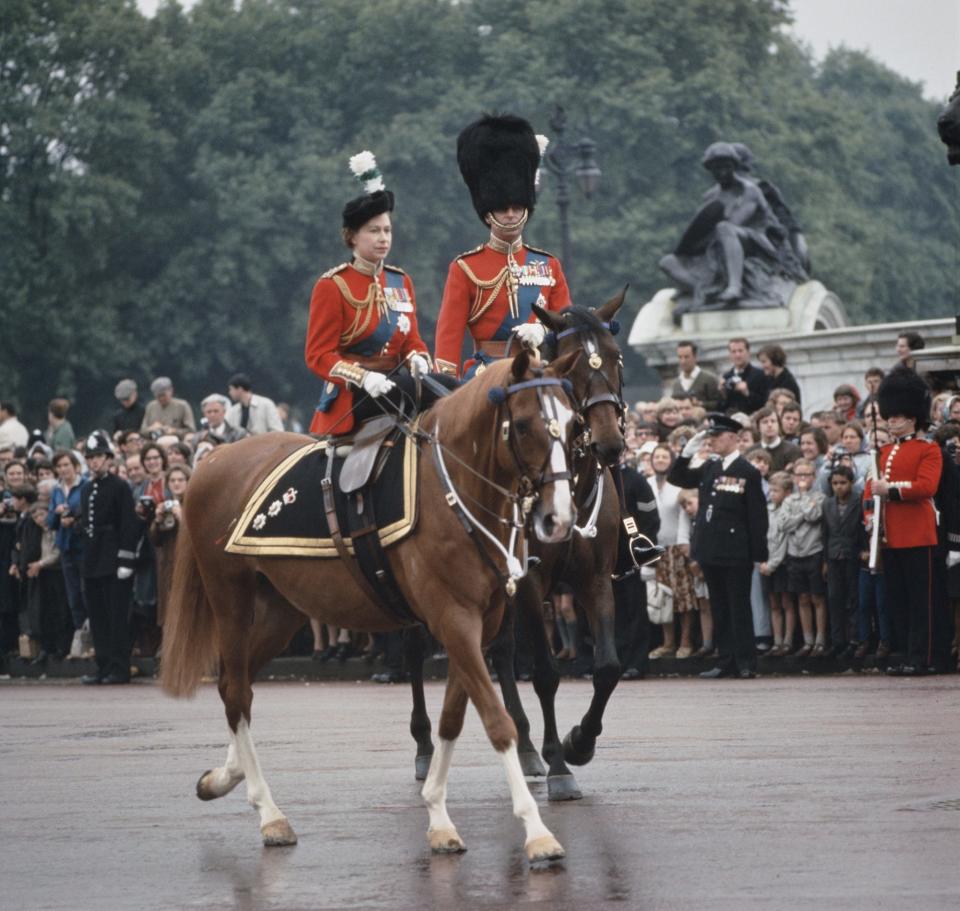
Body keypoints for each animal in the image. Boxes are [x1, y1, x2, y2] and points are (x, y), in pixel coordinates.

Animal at [159, 350, 576, 864]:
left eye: (573, 423)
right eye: (521, 424)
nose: (559, 518)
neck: (453, 492)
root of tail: (211, 460)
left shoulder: (478, 624)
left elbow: (453, 719)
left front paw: (438, 817)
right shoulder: (454, 620)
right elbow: (498, 723)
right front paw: (536, 832)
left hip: (281, 610)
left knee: (235, 688)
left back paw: (224, 777)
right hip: (230, 598)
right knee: (236, 691)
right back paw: (269, 813)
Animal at [406, 290, 628, 800]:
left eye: (616, 358)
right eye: (573, 369)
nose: (609, 444)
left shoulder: (595, 579)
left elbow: (607, 666)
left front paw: (579, 742)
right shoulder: (529, 581)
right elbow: (544, 672)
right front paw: (561, 765)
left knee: (501, 652)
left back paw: (525, 747)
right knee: (418, 653)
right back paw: (426, 747)